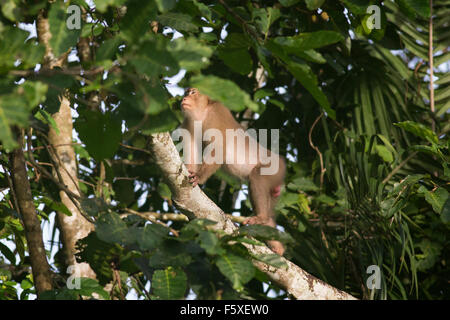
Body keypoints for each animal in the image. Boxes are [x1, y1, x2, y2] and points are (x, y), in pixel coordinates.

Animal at [178, 88, 284, 255]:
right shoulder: (189, 123)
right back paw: (275, 241)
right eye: (186, 92)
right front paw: (190, 170)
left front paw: (199, 177)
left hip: (275, 170)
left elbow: (218, 149)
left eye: (193, 92)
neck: (203, 112)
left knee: (257, 177)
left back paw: (261, 217)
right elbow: (192, 148)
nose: (184, 98)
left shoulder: (216, 114)